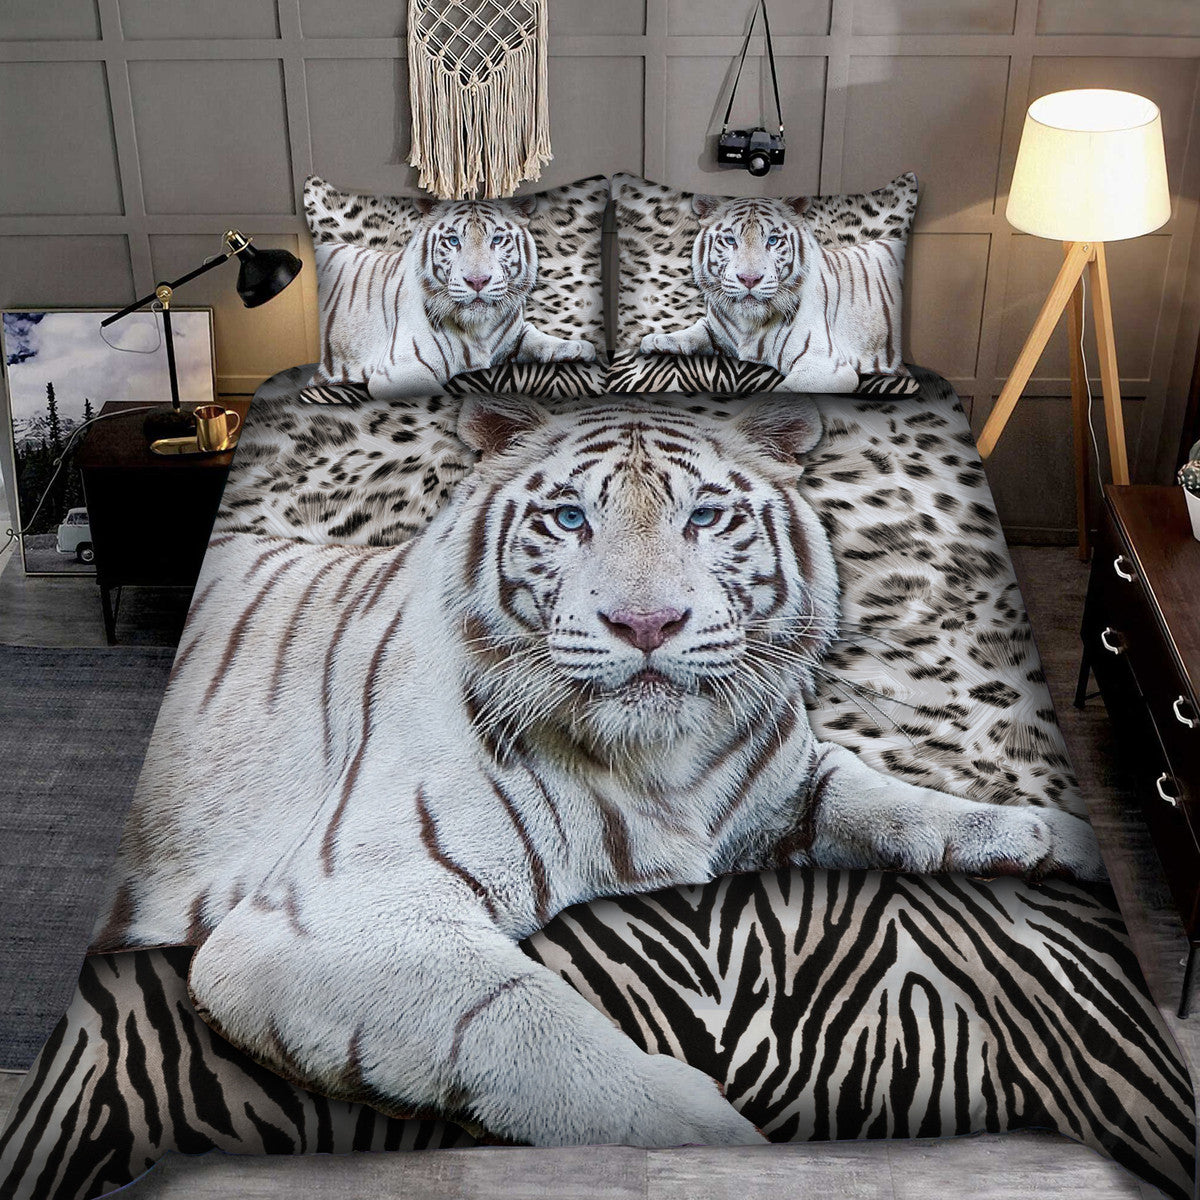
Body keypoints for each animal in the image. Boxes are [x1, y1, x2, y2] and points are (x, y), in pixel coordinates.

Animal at [91, 395, 1103, 1151]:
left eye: (705, 516)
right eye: (571, 518)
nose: (645, 623)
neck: (667, 767)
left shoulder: (787, 784)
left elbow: (895, 804)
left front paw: (1051, 835)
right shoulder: (332, 914)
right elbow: (528, 1024)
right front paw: (717, 1145)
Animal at [316, 195, 596, 400]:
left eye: (497, 240)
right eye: (453, 241)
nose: (477, 281)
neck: (479, 331)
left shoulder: (514, 331)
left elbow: (536, 337)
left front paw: (577, 348)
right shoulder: (400, 371)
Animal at [641, 194, 905, 392]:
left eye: (773, 241)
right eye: (730, 241)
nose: (749, 279)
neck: (747, 325)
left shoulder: (825, 365)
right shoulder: (716, 326)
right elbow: (696, 330)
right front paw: (657, 340)